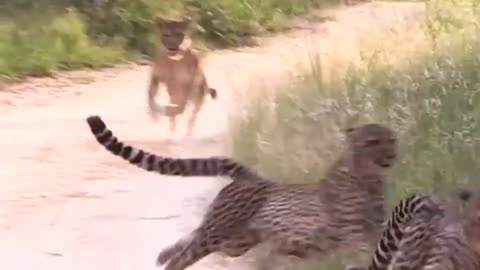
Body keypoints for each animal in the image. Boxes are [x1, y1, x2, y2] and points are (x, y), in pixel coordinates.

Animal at [85, 115, 398, 268]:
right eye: (372, 141)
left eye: (391, 139)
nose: (391, 155)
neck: (367, 177)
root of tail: (249, 175)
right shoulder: (353, 234)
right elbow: (364, 253)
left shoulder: (375, 228)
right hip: (219, 235)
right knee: (183, 257)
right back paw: (168, 261)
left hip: (235, 241)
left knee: (193, 234)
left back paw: (162, 254)